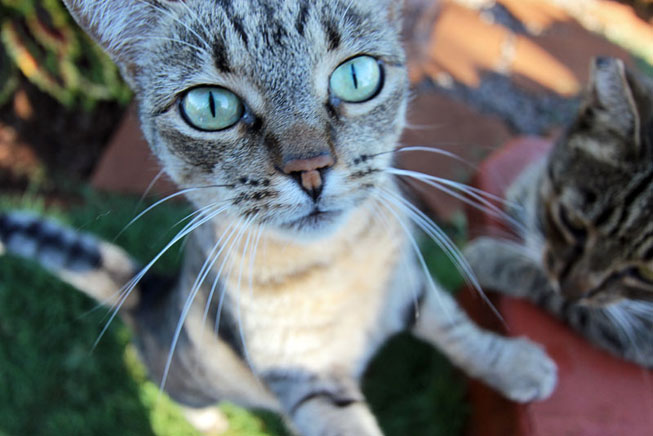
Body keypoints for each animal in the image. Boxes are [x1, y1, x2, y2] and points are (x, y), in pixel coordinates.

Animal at [2, 1, 556, 434]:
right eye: (210, 106)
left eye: (357, 76)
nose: (310, 168)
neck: (339, 264)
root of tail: (149, 293)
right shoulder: (308, 386)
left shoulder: (410, 285)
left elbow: (458, 329)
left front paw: (516, 363)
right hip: (181, 377)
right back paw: (208, 420)